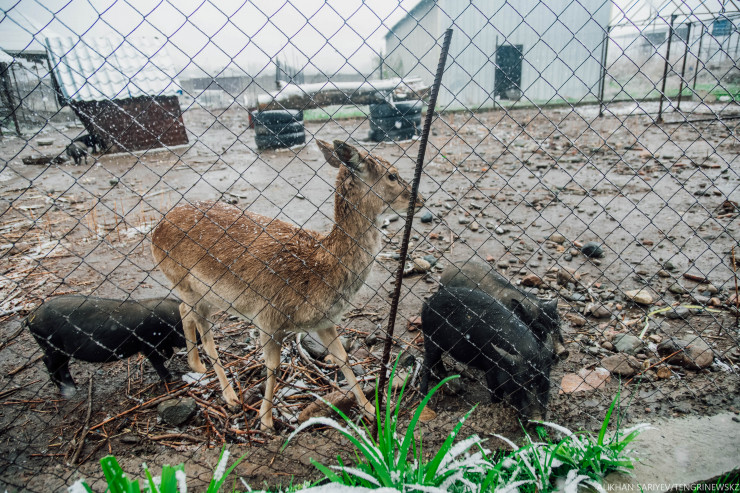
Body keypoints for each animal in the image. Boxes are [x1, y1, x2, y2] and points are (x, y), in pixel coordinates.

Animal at [151, 139, 424, 430]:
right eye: (392, 175)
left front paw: (371, 409)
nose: (420, 200)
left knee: (184, 310)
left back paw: (197, 367)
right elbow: (273, 366)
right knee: (203, 328)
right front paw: (266, 421)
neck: (321, 269)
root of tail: (155, 230)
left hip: (202, 294)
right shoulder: (268, 317)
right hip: (187, 283)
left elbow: (343, 358)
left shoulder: (325, 321)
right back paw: (230, 395)